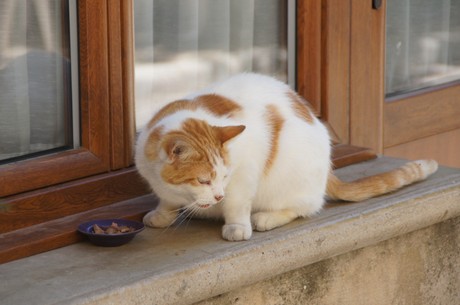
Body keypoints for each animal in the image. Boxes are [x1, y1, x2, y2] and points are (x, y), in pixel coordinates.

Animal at [134, 73, 438, 240]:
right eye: (203, 181)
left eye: (224, 176)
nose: (218, 195)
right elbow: (166, 201)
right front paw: (162, 215)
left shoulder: (245, 172)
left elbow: (237, 204)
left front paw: (237, 226)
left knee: (306, 207)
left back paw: (266, 219)